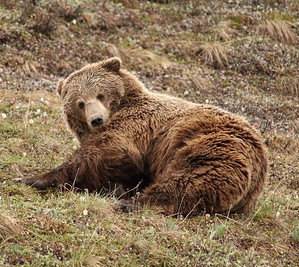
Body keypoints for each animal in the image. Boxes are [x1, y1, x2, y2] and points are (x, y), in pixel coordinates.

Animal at [22, 57, 268, 218]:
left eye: (100, 94)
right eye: (80, 103)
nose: (97, 120)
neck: (123, 104)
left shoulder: (136, 126)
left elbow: (107, 153)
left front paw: (35, 177)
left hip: (212, 145)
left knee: (189, 179)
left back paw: (130, 203)